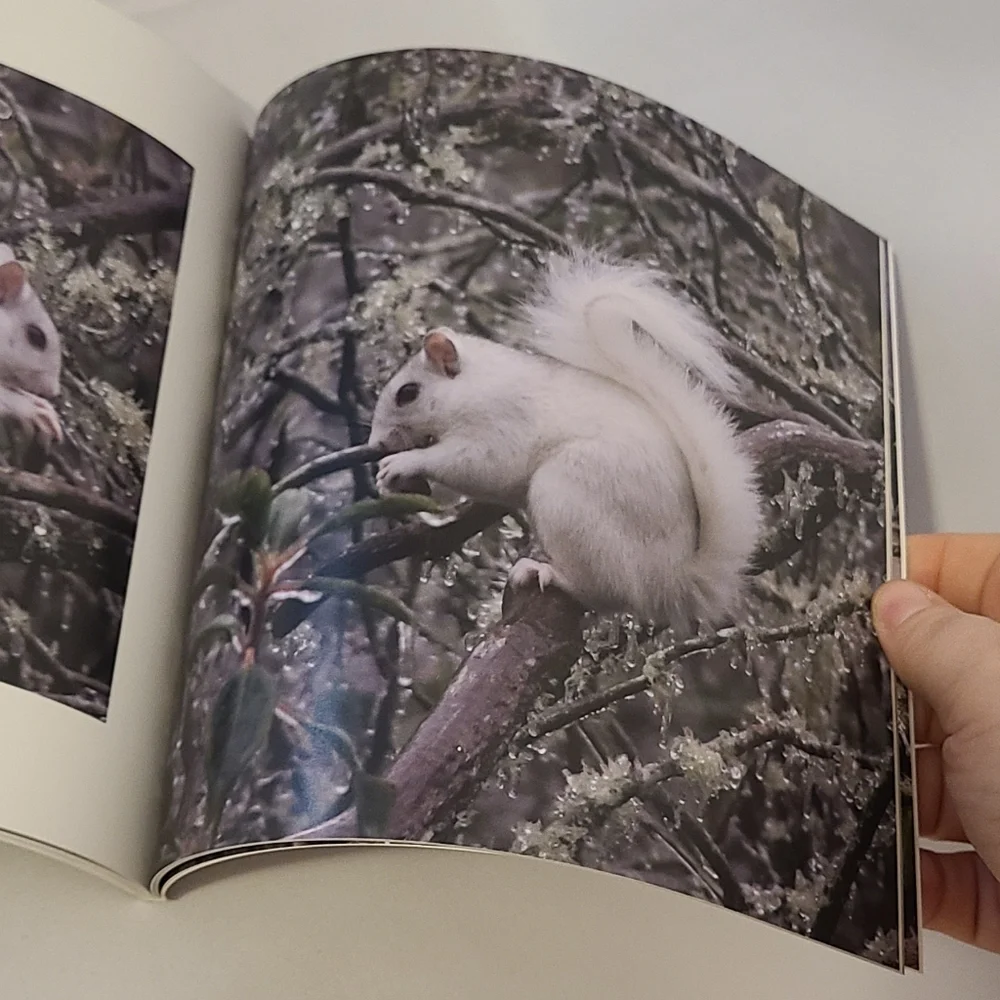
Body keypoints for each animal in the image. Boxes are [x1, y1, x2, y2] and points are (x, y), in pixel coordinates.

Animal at [367, 250, 762, 628]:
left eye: (407, 393)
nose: (376, 444)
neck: (473, 386)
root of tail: (672, 578)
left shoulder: (501, 424)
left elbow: (479, 465)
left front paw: (401, 464)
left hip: (568, 497)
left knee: (605, 593)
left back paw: (547, 572)